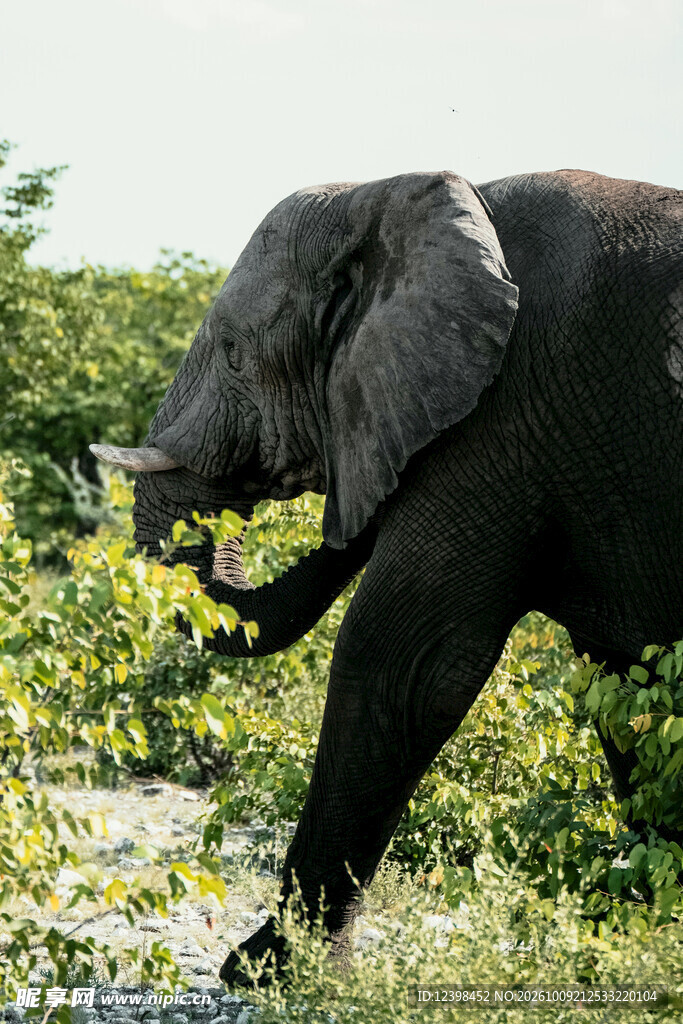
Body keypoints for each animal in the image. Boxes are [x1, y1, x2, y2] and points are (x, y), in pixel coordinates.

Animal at [91, 167, 683, 985]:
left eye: (235, 352)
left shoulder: (497, 424)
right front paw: (625, 944)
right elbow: (628, 691)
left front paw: (264, 971)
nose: (350, 517)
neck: (396, 198)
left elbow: (399, 666)